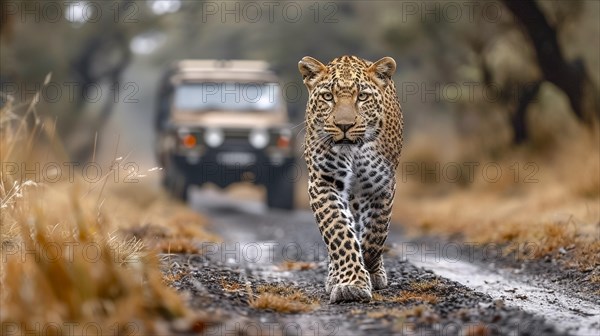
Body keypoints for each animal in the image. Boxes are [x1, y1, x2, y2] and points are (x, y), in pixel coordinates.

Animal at [298, 54, 404, 302]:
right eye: (328, 97)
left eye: (362, 97)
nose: (344, 126)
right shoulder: (323, 181)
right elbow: (339, 231)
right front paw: (351, 282)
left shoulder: (381, 186)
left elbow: (375, 235)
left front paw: (368, 272)